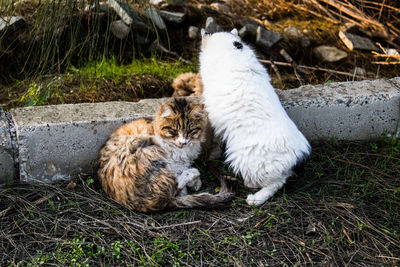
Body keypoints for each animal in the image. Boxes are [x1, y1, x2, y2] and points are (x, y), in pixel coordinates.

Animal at [98, 97, 233, 213]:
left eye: (190, 131)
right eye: (174, 131)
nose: (182, 142)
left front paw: (194, 184)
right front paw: (193, 182)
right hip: (145, 150)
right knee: (177, 185)